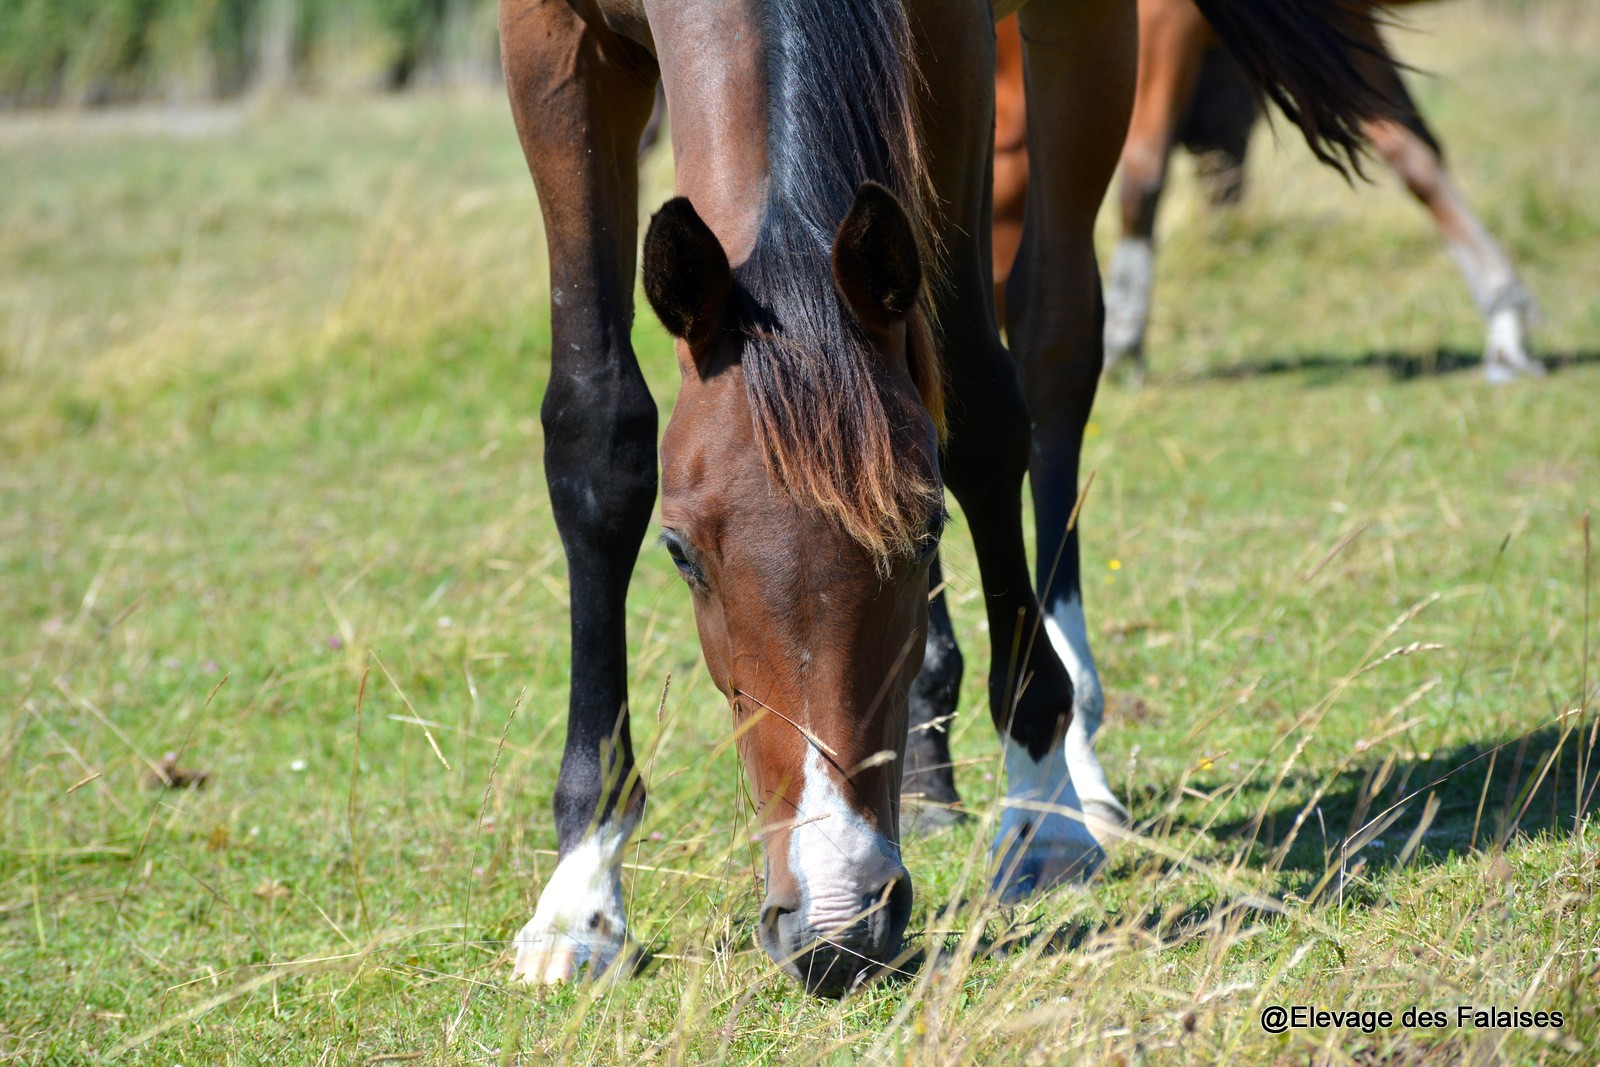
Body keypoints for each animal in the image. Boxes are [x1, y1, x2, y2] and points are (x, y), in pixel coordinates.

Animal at [499, 0, 1388, 998]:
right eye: (681, 554)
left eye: (930, 531)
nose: (838, 928)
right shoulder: (551, 46)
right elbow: (595, 431)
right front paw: (581, 892)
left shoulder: (956, 44)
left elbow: (985, 409)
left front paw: (1042, 808)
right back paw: (930, 770)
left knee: (1053, 341)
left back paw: (1073, 755)